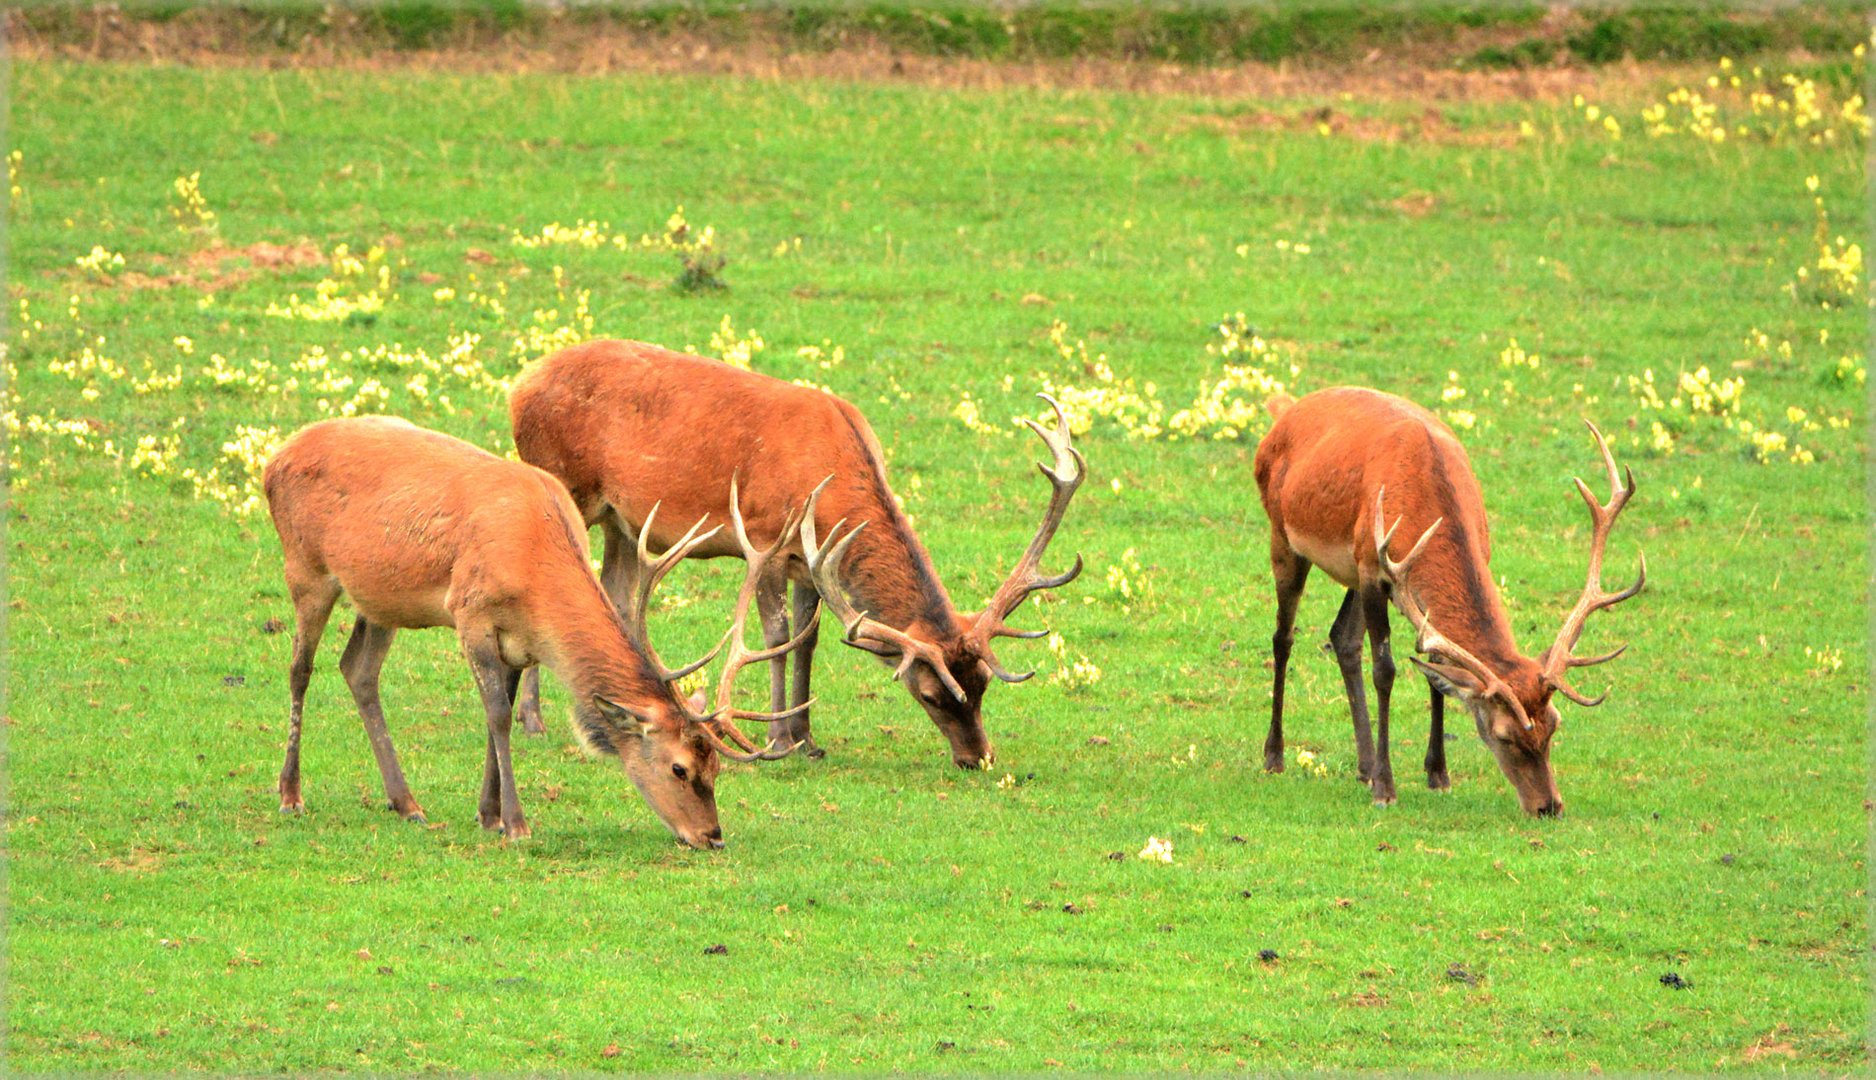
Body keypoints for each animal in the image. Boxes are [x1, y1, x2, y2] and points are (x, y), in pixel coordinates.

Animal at [260, 418, 817, 847]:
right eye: (679, 768)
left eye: (716, 767)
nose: (712, 836)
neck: (534, 563)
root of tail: (273, 459)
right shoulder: (471, 613)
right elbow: (499, 716)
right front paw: (517, 824)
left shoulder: (518, 641)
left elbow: (498, 715)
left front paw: (488, 814)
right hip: (305, 567)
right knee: (299, 669)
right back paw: (290, 794)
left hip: (378, 599)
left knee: (358, 669)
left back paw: (406, 803)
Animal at [506, 337, 1088, 768]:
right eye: (929, 694)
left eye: (983, 683)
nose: (978, 758)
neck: (829, 475)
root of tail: (519, 384)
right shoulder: (763, 539)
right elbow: (777, 635)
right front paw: (779, 740)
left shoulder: (811, 563)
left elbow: (807, 640)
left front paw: (808, 737)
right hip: (567, 485)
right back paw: (532, 720)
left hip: (624, 524)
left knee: (617, 595)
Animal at [1260, 384, 1643, 813]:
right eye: (1503, 735)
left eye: (1555, 725)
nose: (1549, 806)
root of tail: (1287, 409)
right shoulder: (1375, 570)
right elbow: (1386, 671)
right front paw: (1385, 788)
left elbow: (1436, 672)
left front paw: (1437, 774)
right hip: (1284, 535)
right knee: (1283, 637)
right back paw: (1275, 756)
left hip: (1351, 568)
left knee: (1343, 637)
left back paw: (1364, 765)